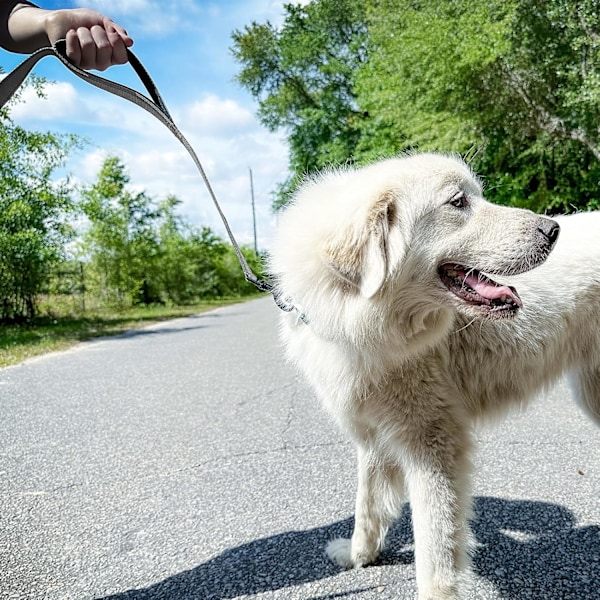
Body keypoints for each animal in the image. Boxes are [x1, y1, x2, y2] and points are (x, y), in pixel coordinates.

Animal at [270, 154, 600, 600]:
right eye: (459, 202)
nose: (553, 230)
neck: (361, 318)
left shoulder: (432, 442)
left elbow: (434, 543)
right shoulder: (374, 436)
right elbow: (367, 505)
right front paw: (359, 556)